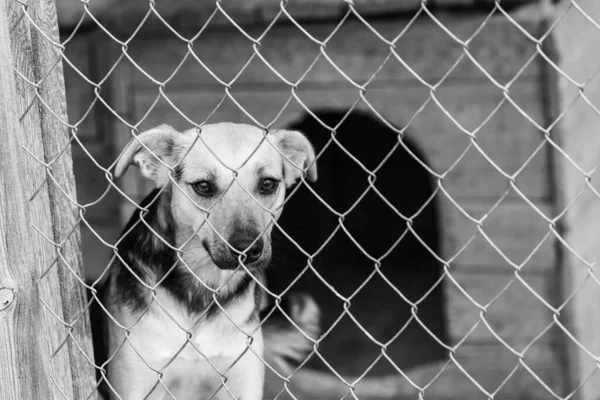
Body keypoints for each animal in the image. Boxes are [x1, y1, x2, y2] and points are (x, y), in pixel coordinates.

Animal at [94, 123, 318, 400]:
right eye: (203, 186)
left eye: (268, 184)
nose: (247, 249)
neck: (202, 287)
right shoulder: (137, 383)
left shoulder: (242, 381)